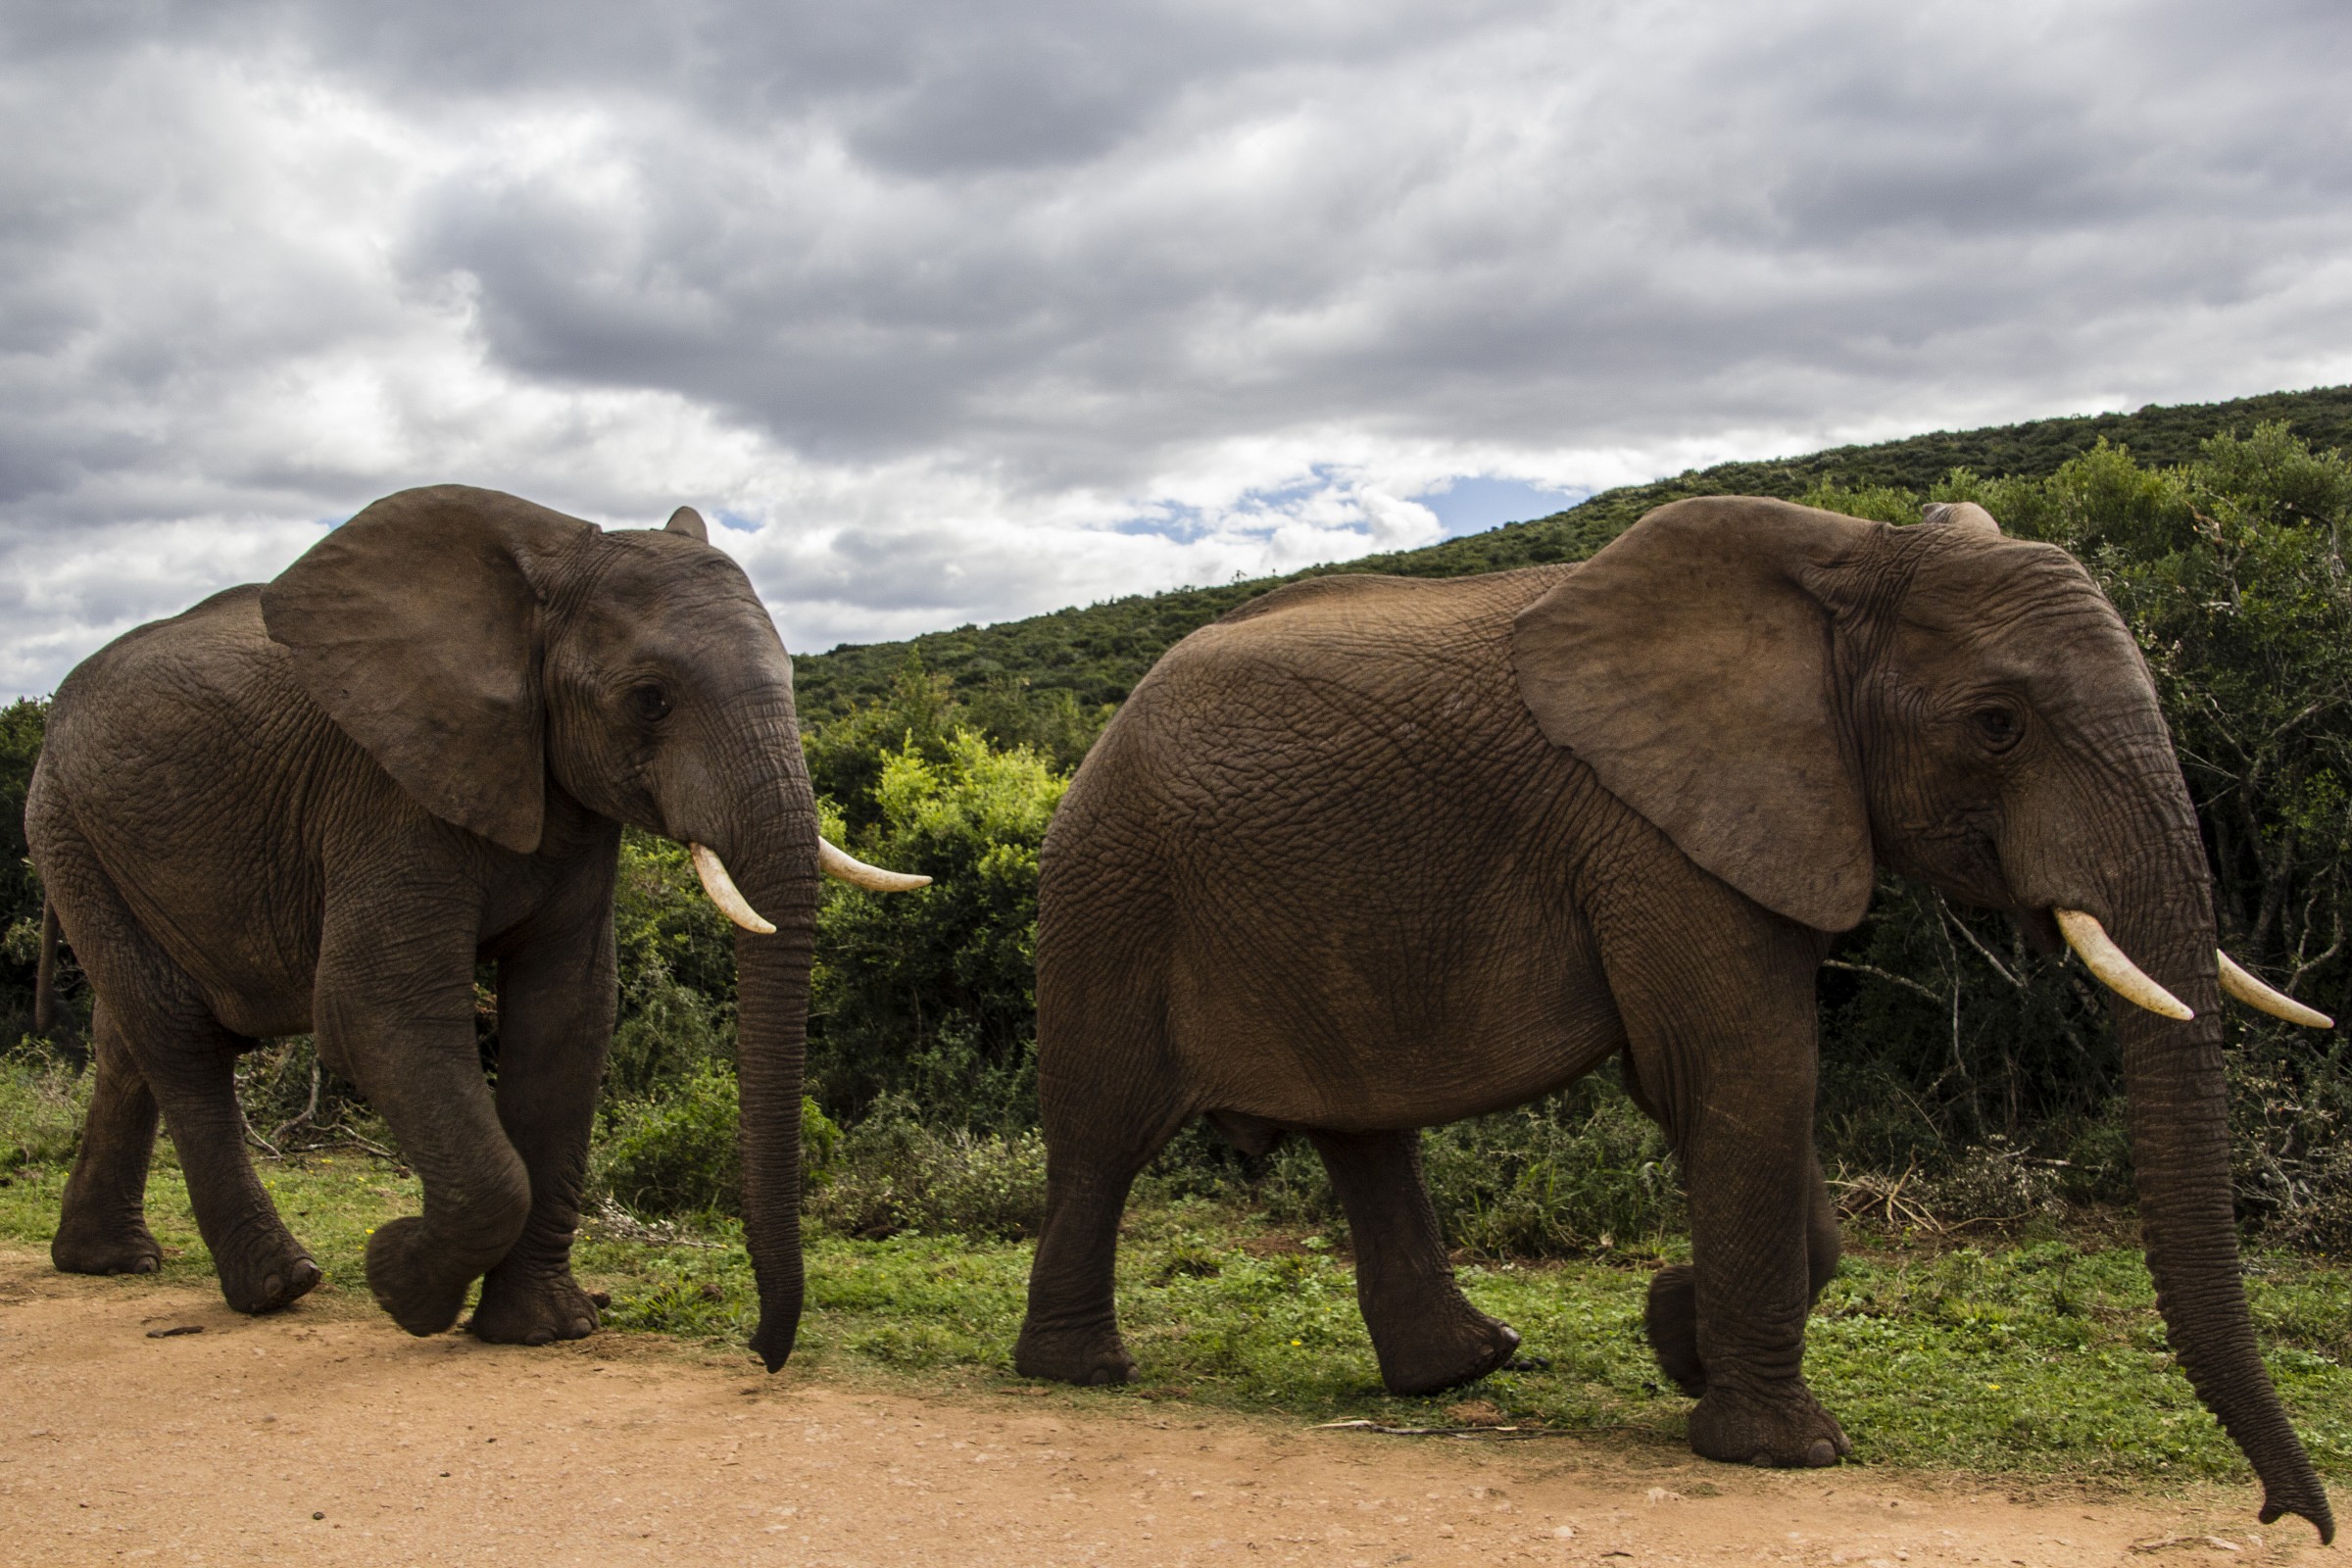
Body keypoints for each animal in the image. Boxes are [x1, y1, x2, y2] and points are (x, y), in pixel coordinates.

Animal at [26, 484, 923, 1367]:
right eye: (651, 701)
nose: (761, 1354)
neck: (539, 586)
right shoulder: (387, 791)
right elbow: (375, 1009)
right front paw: (398, 1280)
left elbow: (568, 1015)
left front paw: (544, 1330)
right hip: (68, 828)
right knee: (179, 1040)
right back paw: (280, 1286)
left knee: (128, 1039)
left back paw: (108, 1261)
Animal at [1011, 495, 2335, 1540]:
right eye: (1998, 724)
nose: (2294, 1520)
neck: (1850, 559)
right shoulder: (1653, 830)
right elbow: (1739, 1069)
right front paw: (1784, 1450)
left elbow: (1733, 1087)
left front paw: (1672, 1336)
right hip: (1113, 891)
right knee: (1106, 1134)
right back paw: (1084, 1373)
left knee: (1362, 1132)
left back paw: (1462, 1370)